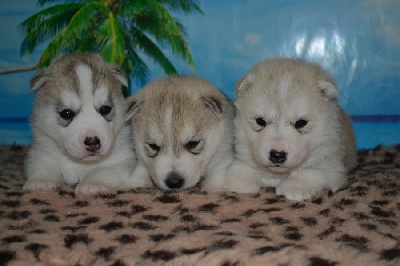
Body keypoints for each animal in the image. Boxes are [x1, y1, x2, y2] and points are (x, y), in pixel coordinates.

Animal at [23, 53, 134, 193]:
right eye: (66, 113)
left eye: (105, 109)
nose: (92, 142)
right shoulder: (40, 154)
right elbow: (44, 167)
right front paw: (40, 181)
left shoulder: (122, 161)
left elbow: (104, 171)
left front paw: (92, 183)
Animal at [223, 57, 358, 200]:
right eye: (260, 121)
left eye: (301, 123)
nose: (277, 155)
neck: (277, 175)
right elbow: (242, 167)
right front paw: (241, 182)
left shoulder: (333, 168)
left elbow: (313, 172)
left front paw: (294, 187)